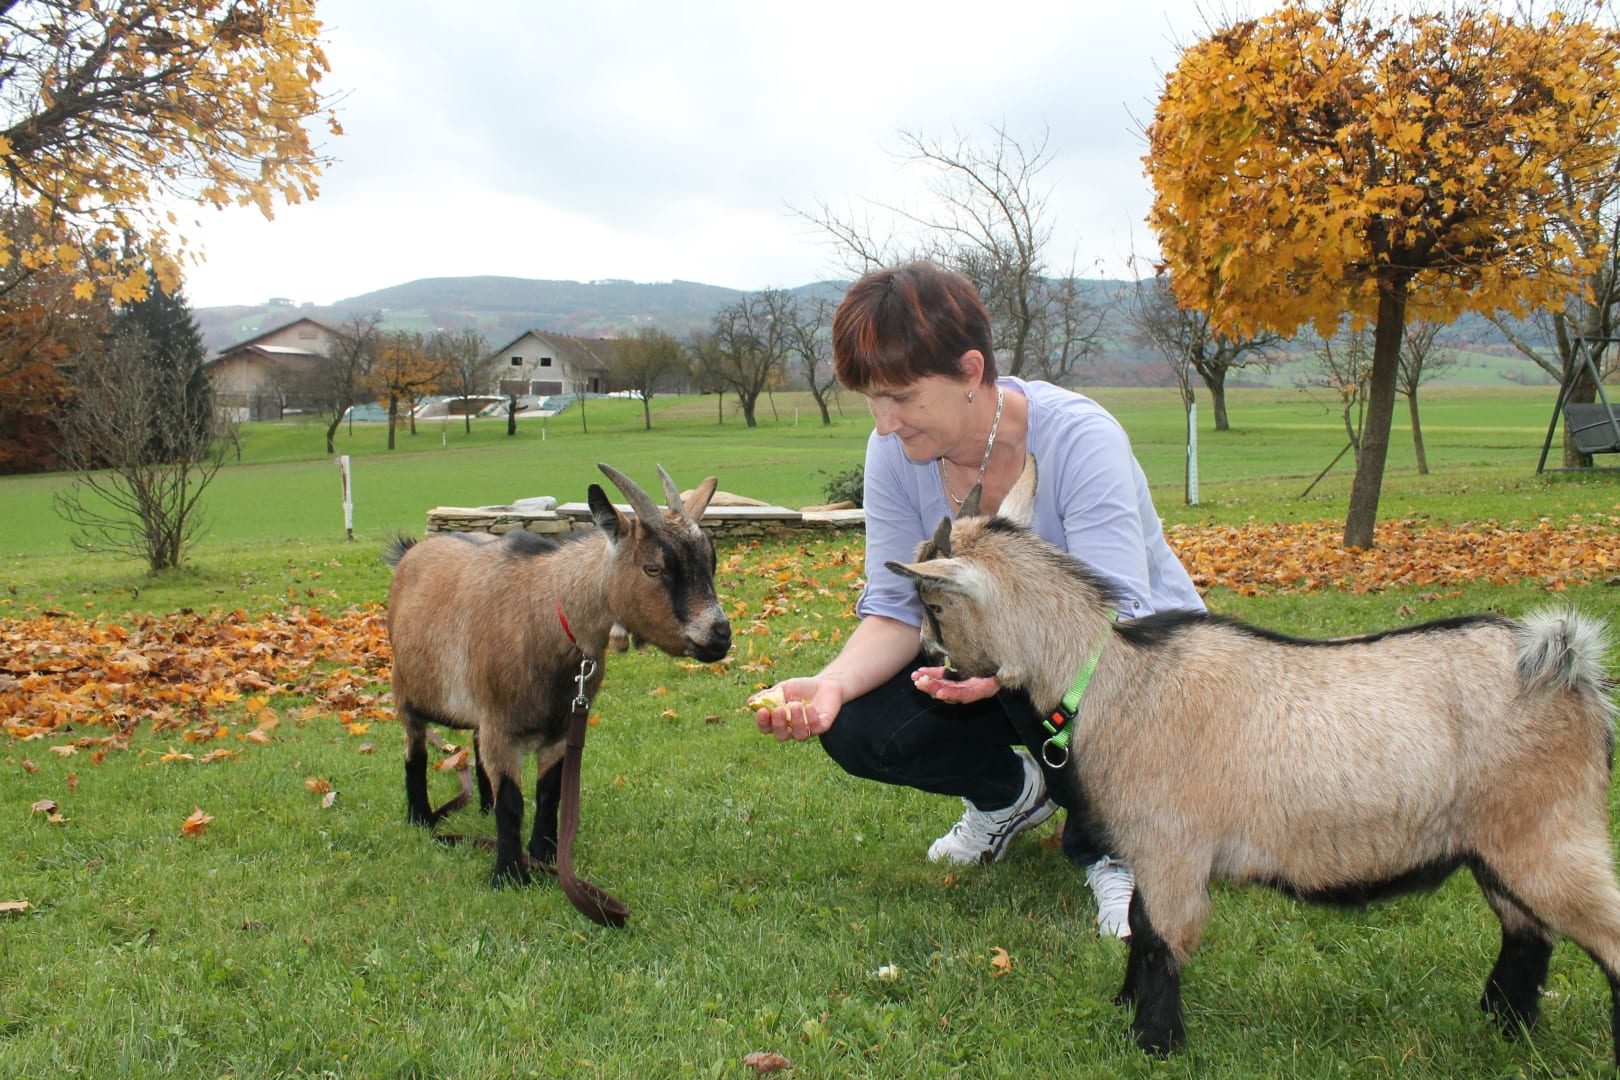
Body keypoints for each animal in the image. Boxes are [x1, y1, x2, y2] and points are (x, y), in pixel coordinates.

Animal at [384, 462, 732, 891]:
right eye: (654, 567)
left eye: (710, 562)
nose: (719, 635)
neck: (546, 614)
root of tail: (410, 553)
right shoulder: (502, 726)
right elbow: (512, 802)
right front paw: (509, 875)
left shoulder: (560, 728)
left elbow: (550, 793)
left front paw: (545, 856)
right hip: (405, 690)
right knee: (414, 750)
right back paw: (419, 818)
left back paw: (482, 806)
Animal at [886, 454, 1620, 1064]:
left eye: (933, 603)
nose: (926, 656)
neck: (1115, 678)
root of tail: (1569, 668)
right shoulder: (1155, 850)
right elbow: (1142, 927)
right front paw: (1125, 1010)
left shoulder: (1173, 845)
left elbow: (1162, 935)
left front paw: (1152, 1042)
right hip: (1499, 842)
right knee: (1527, 932)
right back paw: (1501, 1023)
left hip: (1550, 832)